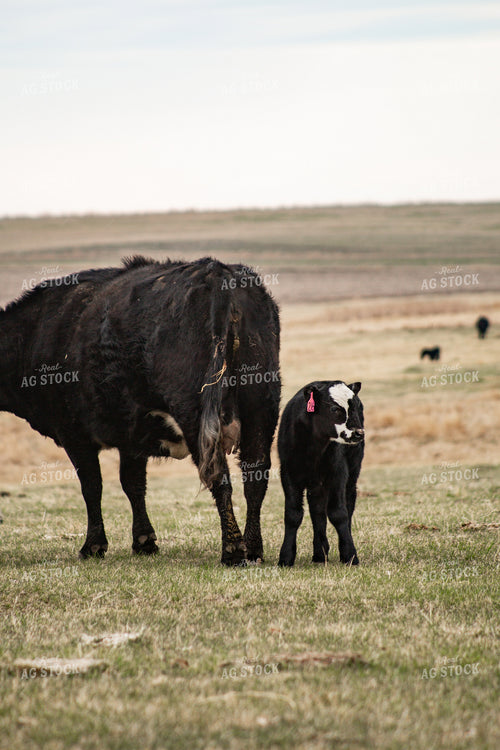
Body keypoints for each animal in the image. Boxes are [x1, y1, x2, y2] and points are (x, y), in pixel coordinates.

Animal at [0, 256, 281, 565]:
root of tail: (216, 272)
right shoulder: (130, 438)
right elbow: (133, 484)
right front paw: (144, 541)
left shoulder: (75, 435)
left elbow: (92, 486)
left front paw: (93, 545)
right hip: (262, 405)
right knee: (256, 474)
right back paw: (253, 549)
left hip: (195, 412)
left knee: (219, 475)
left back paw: (232, 550)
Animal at [278, 380, 364, 567]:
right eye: (334, 408)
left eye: (355, 406)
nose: (358, 433)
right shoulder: (288, 474)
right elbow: (293, 514)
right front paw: (286, 557)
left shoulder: (338, 473)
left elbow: (339, 514)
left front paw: (350, 555)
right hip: (316, 484)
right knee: (317, 510)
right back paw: (319, 553)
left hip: (352, 474)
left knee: (348, 505)